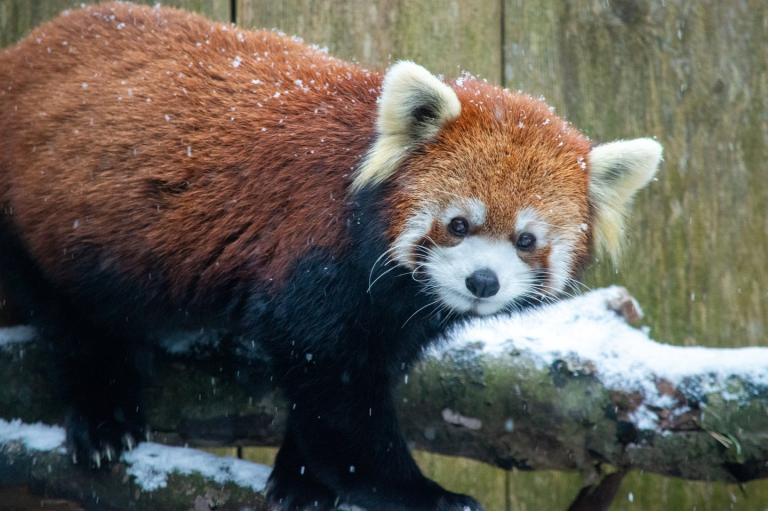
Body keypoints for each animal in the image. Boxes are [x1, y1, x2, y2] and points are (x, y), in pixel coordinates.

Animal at [0, 5, 660, 511]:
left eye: (525, 240)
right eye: (458, 225)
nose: (482, 282)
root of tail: (24, 50)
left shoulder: (396, 319)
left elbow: (340, 390)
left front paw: (298, 477)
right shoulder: (313, 262)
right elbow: (339, 406)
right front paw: (424, 494)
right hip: (36, 218)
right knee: (73, 317)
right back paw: (104, 416)